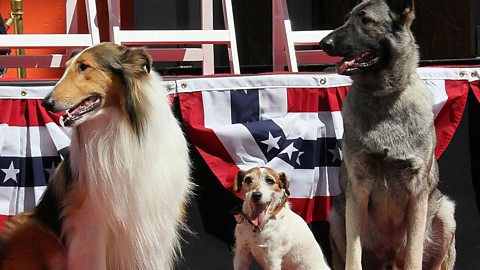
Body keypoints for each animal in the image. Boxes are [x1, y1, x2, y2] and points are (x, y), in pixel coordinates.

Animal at [0, 42, 193, 270]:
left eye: (84, 66)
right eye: (66, 67)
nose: (46, 103)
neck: (121, 128)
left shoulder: (155, 221)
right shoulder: (90, 222)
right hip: (32, 228)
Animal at [320, 0, 456, 270]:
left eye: (365, 20)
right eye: (347, 19)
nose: (323, 43)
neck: (381, 96)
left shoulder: (417, 192)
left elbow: (414, 255)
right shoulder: (358, 191)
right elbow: (354, 256)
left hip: (446, 214)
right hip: (337, 215)